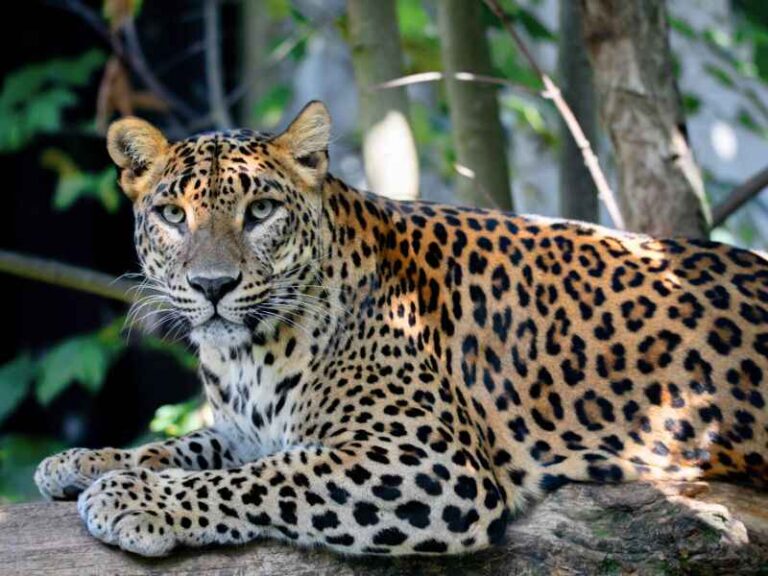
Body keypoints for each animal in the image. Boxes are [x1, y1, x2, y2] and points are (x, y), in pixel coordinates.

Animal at [35, 101, 768, 557]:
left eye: (261, 211)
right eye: (172, 214)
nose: (212, 287)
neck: (247, 353)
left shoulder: (431, 462)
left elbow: (265, 477)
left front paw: (130, 498)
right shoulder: (246, 428)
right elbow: (189, 447)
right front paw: (87, 461)